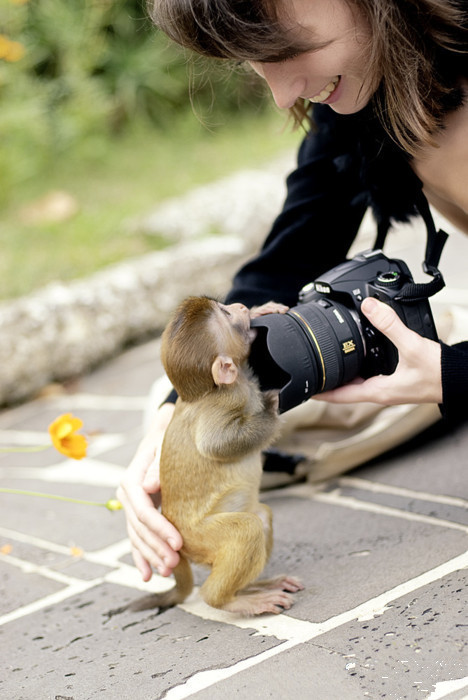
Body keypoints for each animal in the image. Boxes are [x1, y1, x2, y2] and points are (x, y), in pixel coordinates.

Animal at [134, 298, 304, 616]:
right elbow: (216, 444)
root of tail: (179, 540)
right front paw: (272, 407)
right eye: (226, 314)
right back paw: (228, 599)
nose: (239, 306)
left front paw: (262, 310)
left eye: (224, 306)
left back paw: (250, 588)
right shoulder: (224, 401)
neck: (208, 391)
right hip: (200, 538)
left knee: (261, 517)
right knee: (248, 529)